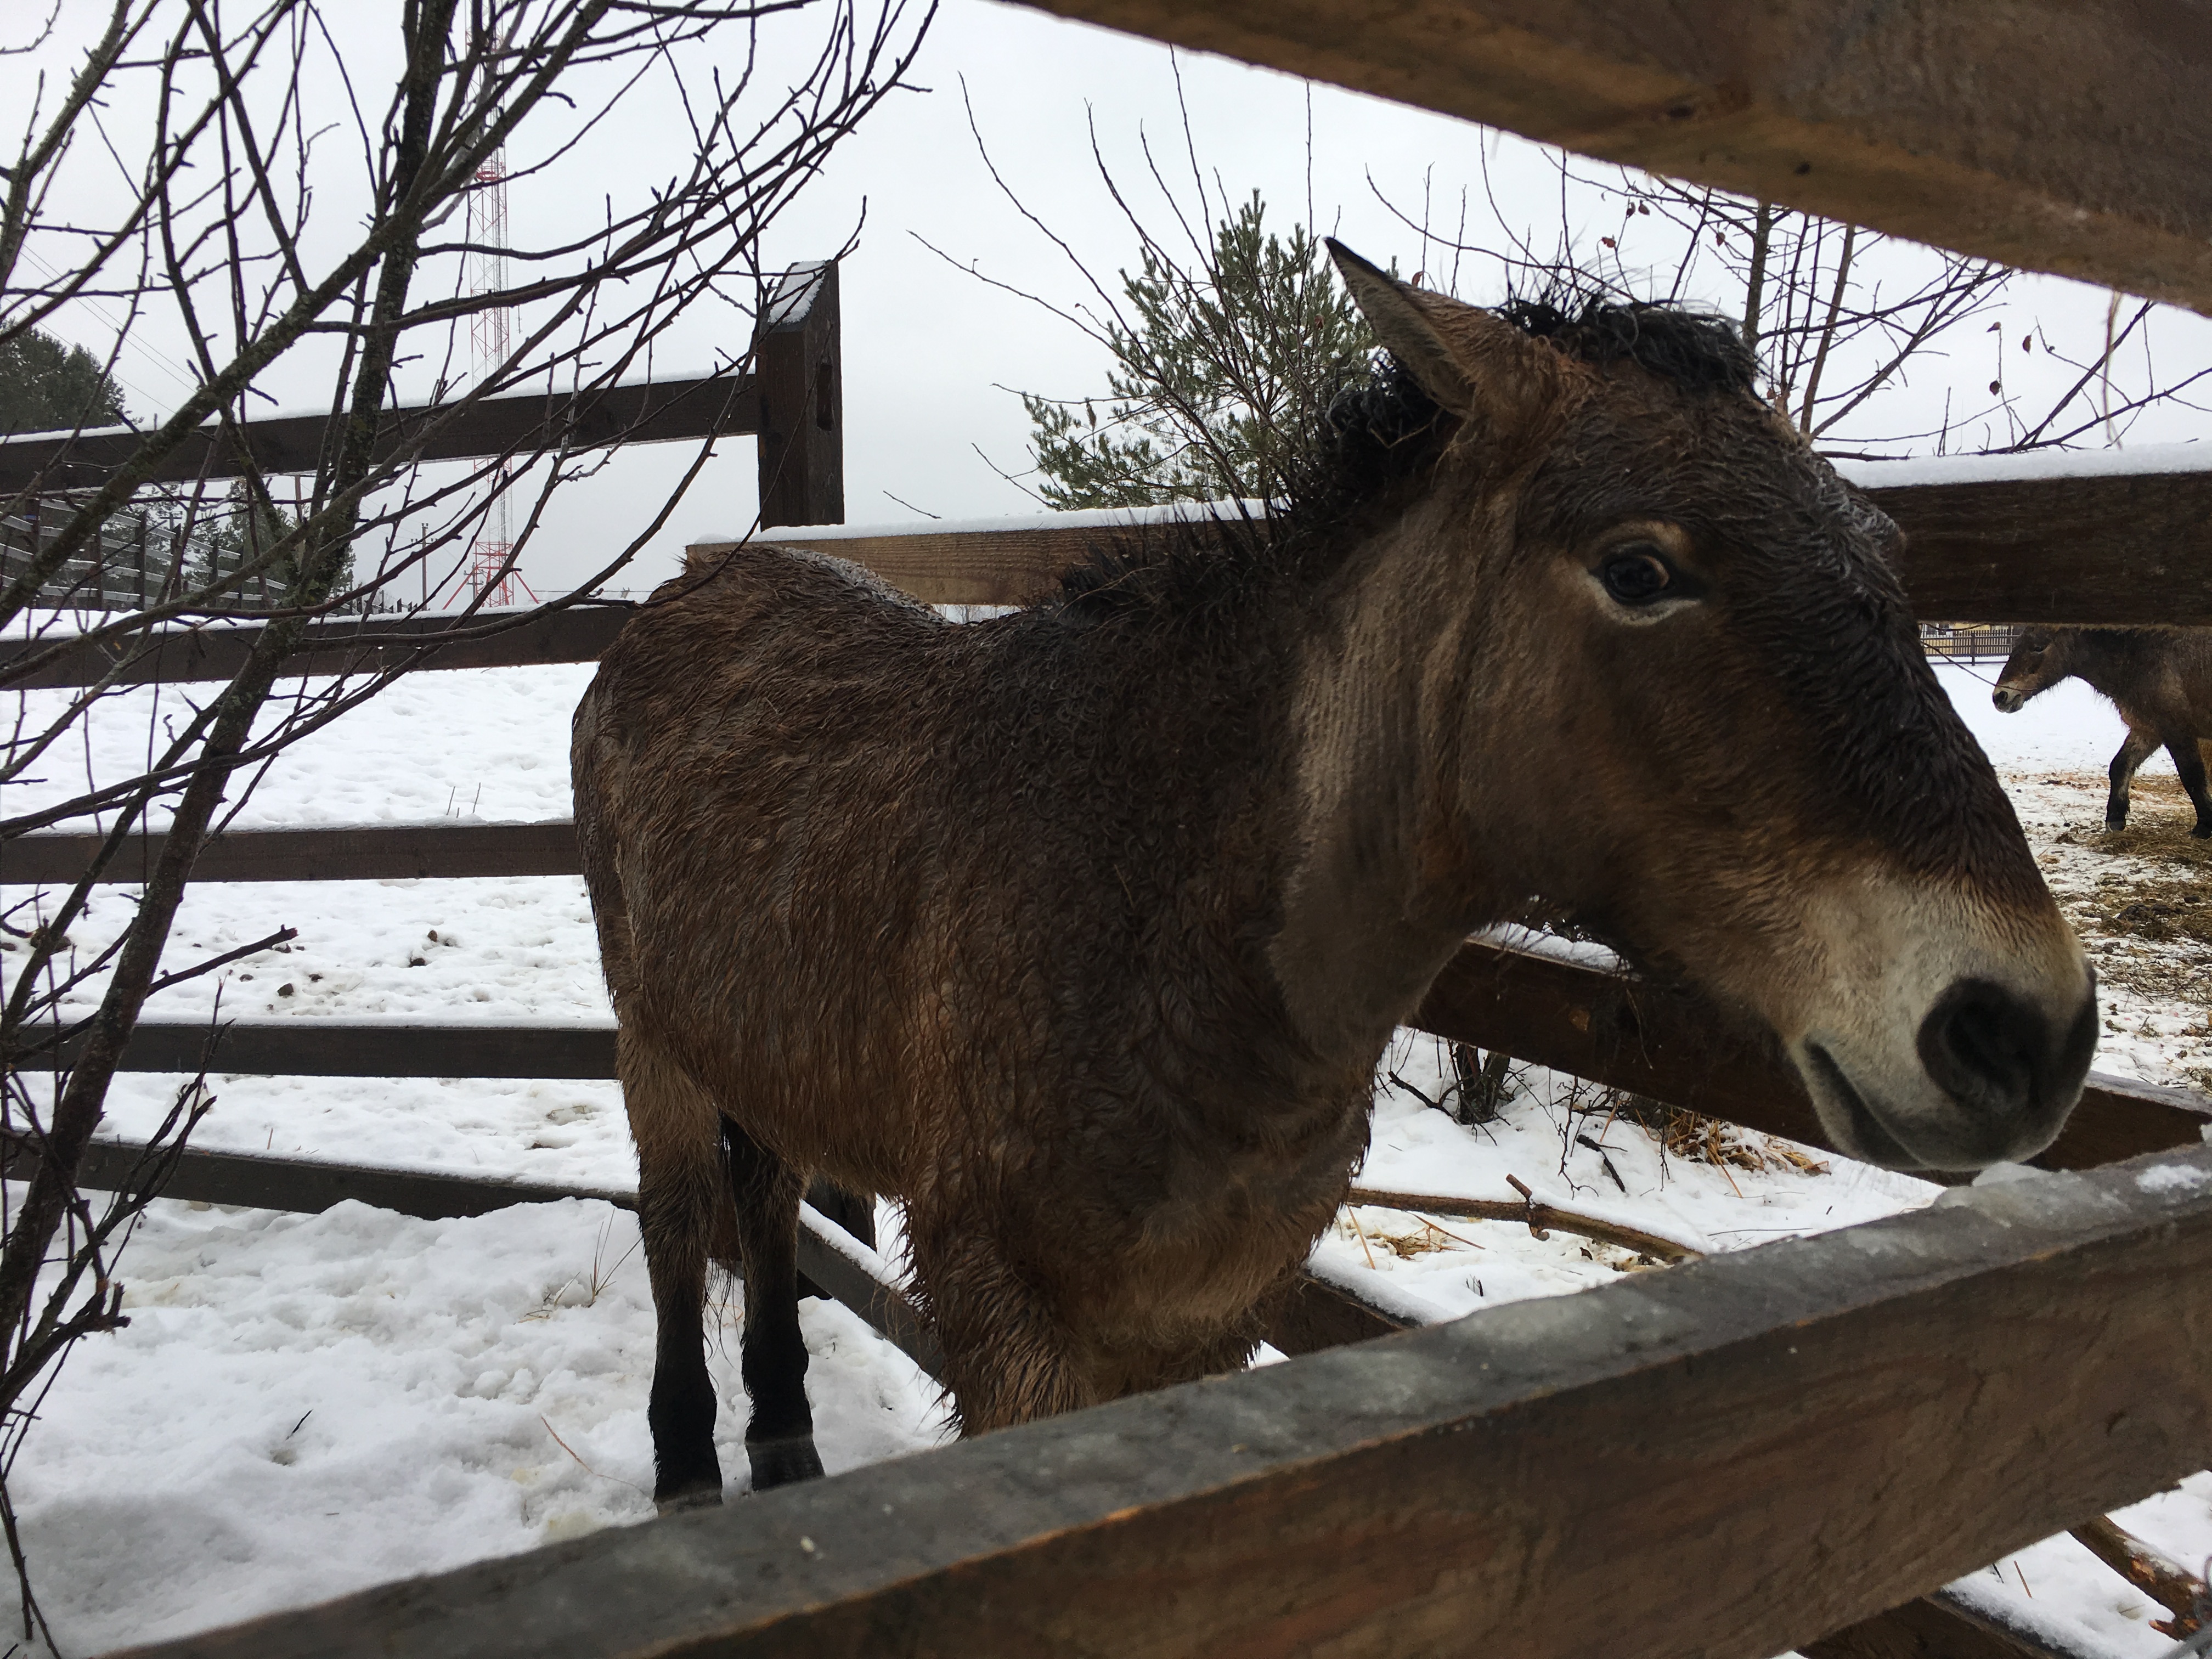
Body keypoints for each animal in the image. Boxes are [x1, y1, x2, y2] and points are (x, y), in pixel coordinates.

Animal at [572, 242, 2096, 1509]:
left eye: (1886, 551)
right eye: (1641, 568)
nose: (2022, 1029)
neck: (1158, 902)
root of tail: (687, 595)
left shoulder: (1205, 1316)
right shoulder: (1012, 1329)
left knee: (768, 1201)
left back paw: (784, 1433)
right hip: (653, 1040)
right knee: (679, 1218)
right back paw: (688, 1459)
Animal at [1992, 626, 2212, 837]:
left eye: (2038, 647)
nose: (2000, 697)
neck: (2139, 655)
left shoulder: (2176, 731)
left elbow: (2192, 777)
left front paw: (2204, 828)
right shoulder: (2148, 730)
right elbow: (2120, 766)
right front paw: (2115, 821)